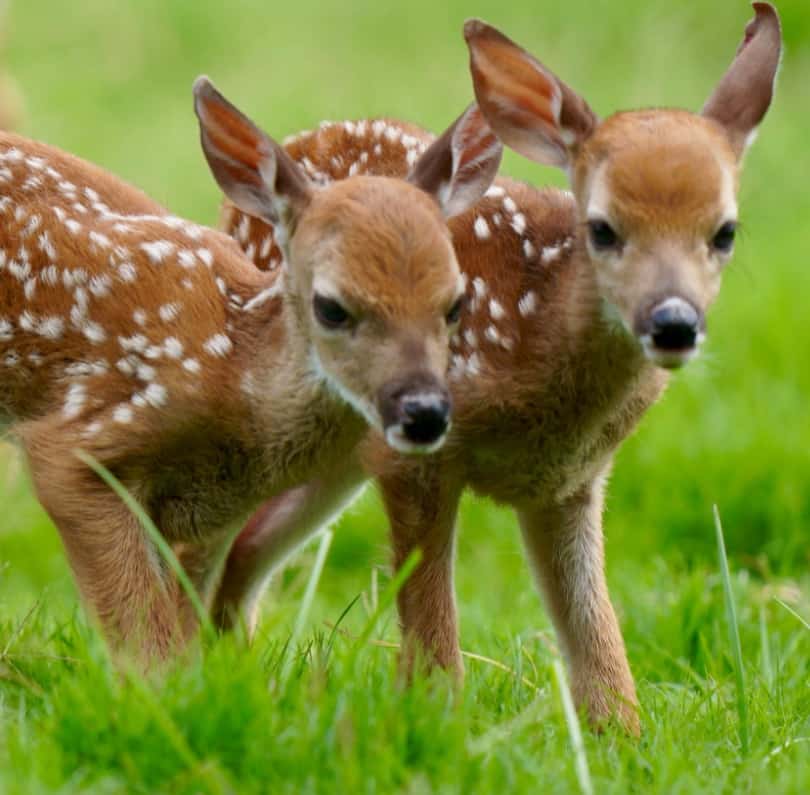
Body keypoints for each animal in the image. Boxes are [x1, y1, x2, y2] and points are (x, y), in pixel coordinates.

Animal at [0, 77, 503, 661]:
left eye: (456, 303)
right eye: (331, 307)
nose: (423, 412)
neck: (235, 375)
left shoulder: (212, 514)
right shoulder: (80, 440)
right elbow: (149, 647)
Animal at [211, 3, 781, 733]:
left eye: (724, 231)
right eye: (603, 227)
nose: (673, 321)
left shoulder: (568, 481)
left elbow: (598, 641)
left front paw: (622, 736)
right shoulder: (419, 454)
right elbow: (432, 635)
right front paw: (435, 729)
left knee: (247, 546)